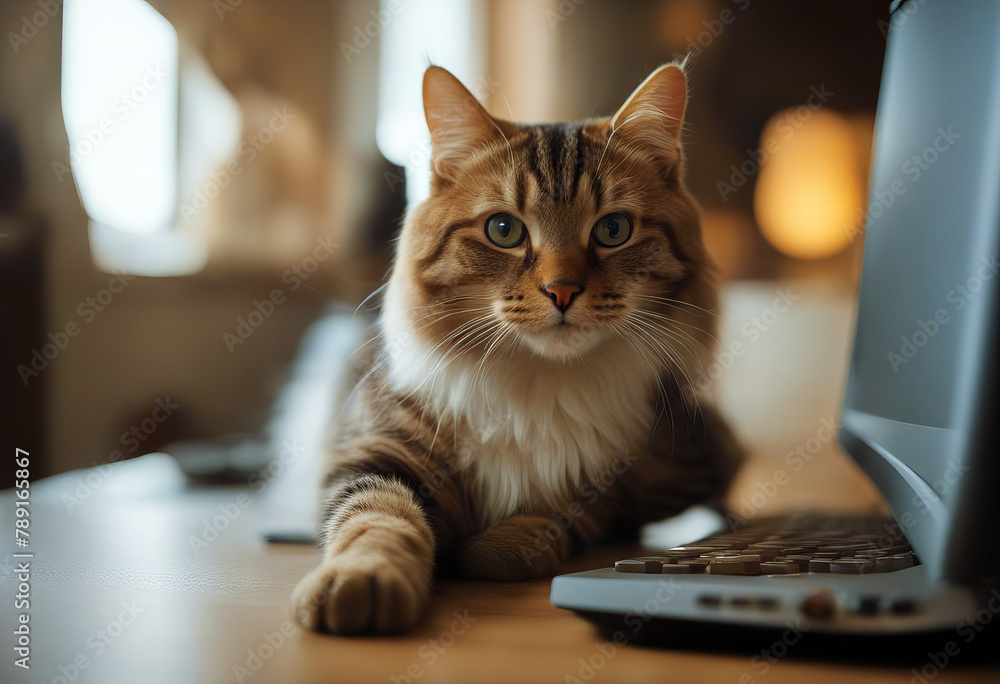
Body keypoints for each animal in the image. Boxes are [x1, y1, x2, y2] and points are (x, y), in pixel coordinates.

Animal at [290, 61, 744, 632]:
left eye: (613, 229)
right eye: (503, 230)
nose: (562, 291)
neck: (539, 380)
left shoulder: (651, 473)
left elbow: (569, 516)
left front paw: (499, 544)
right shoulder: (372, 452)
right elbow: (375, 517)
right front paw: (363, 581)